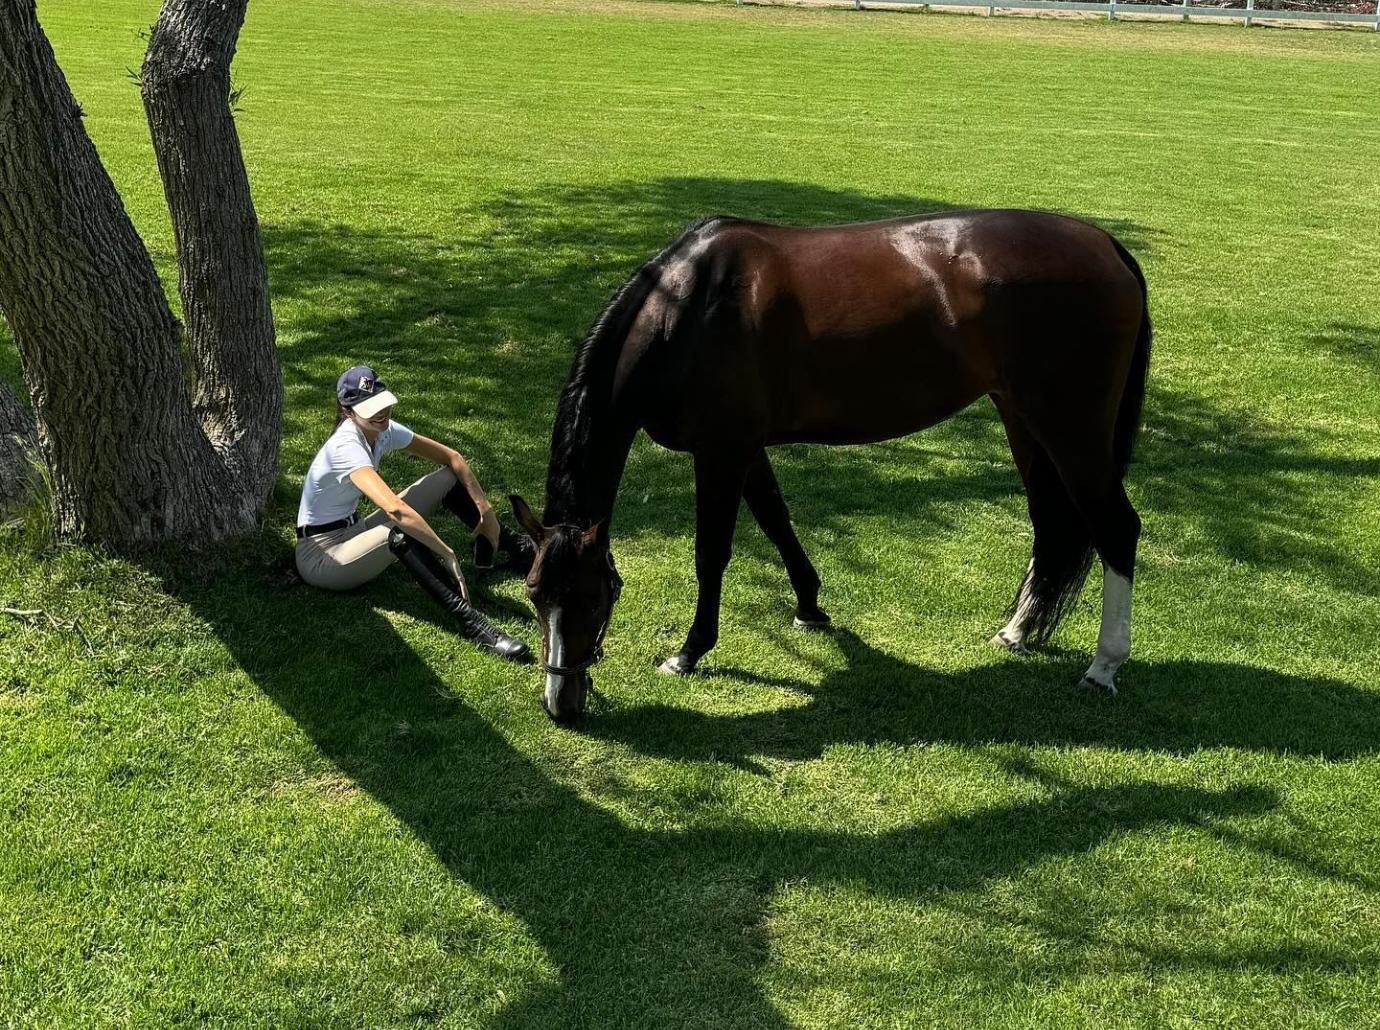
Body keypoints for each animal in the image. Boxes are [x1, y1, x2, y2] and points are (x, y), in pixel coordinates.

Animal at [513, 208, 1148, 723]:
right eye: (535, 594)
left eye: (594, 595)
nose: (560, 704)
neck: (687, 310)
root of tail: (1105, 244)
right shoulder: (746, 448)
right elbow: (776, 520)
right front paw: (810, 605)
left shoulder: (721, 451)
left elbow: (711, 552)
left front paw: (689, 651)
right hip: (1024, 420)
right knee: (1052, 524)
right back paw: (1017, 632)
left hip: (1070, 426)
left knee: (1116, 527)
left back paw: (1103, 667)